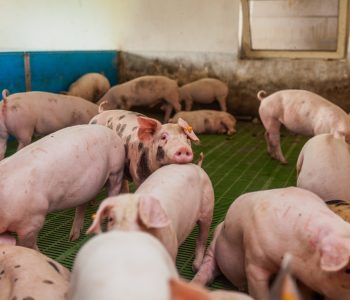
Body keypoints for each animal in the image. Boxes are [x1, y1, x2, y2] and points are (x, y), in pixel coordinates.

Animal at [86, 163, 215, 270]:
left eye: (141, 220)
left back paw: (196, 267)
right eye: (111, 219)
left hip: (208, 208)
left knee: (202, 237)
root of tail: (196, 166)